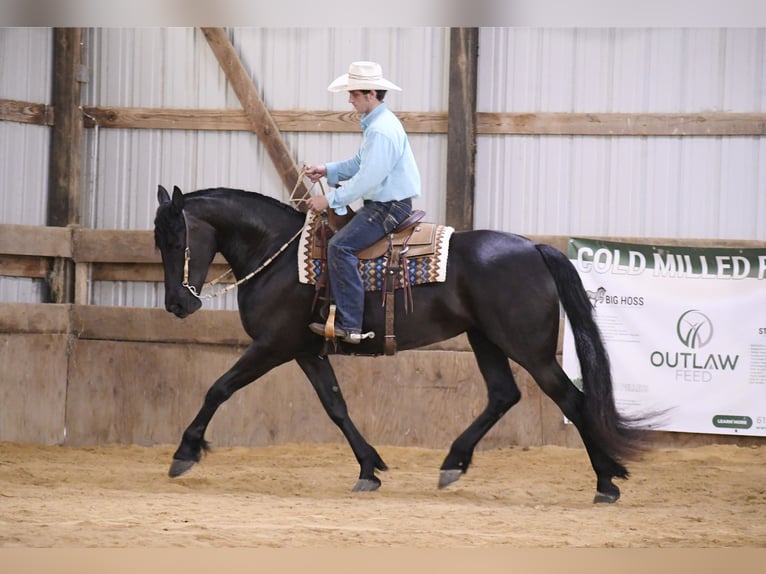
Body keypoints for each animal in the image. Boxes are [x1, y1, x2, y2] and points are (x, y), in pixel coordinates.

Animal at [154, 186, 648, 504]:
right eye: (158, 241)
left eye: (176, 239)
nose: (177, 304)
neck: (279, 255)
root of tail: (534, 248)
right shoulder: (306, 351)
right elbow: (336, 407)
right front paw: (369, 468)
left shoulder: (272, 346)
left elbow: (218, 388)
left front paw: (184, 453)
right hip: (486, 338)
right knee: (503, 394)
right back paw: (454, 462)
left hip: (529, 349)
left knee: (571, 398)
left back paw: (606, 481)